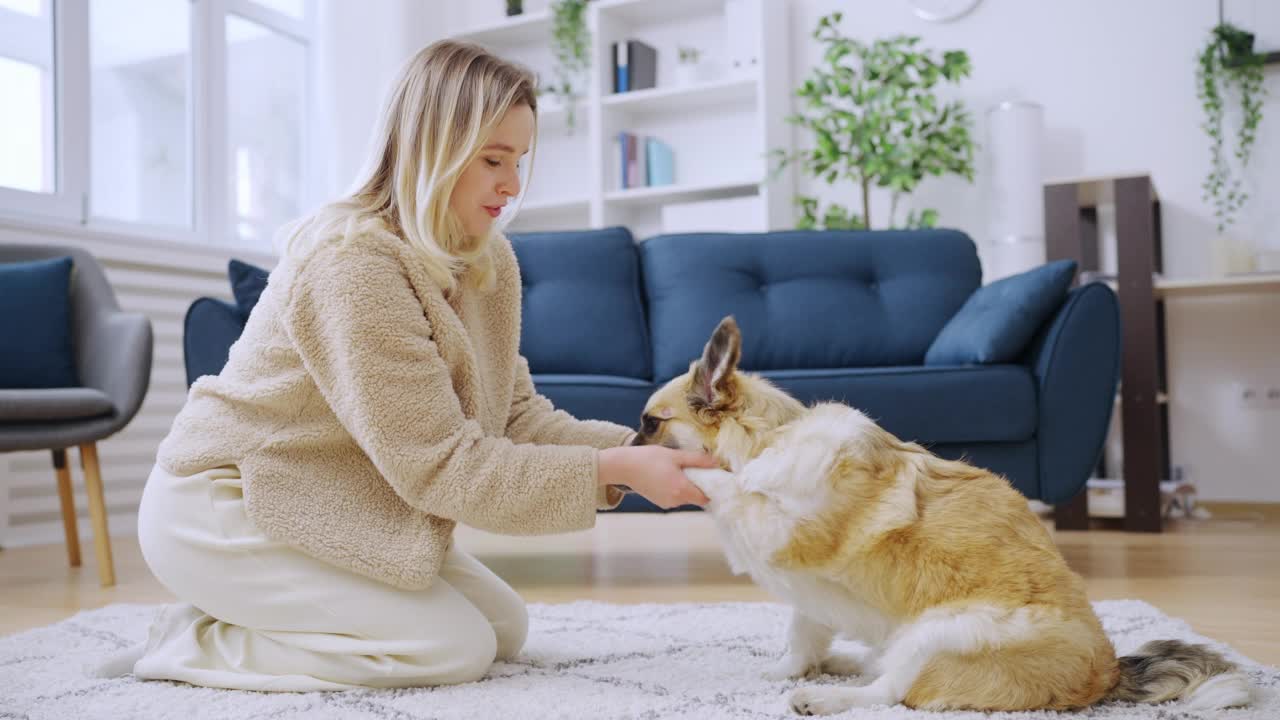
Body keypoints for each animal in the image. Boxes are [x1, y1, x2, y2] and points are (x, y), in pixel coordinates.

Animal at [629, 317, 1249, 712]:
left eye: (650, 424)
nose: (626, 446)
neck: (771, 441)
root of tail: (1108, 673)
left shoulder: (779, 528)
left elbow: (725, 484)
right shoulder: (807, 593)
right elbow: (803, 633)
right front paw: (791, 666)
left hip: (938, 633)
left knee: (889, 695)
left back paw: (825, 695)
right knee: (880, 672)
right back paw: (842, 664)